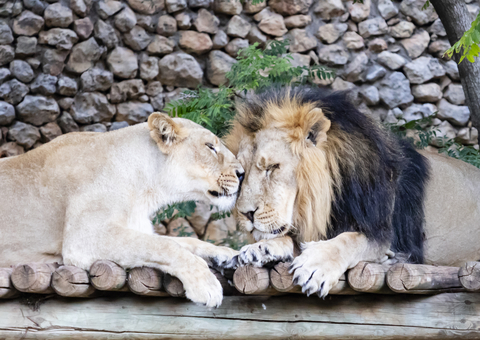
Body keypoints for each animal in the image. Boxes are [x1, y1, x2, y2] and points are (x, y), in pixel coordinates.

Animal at [0, 112, 244, 308]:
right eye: (210, 147)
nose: (242, 173)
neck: (146, 191)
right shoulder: (84, 238)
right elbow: (165, 246)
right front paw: (206, 285)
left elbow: (186, 242)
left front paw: (228, 253)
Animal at [224, 87, 480, 298]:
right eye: (242, 173)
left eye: (272, 167)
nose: (246, 214)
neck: (326, 199)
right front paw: (260, 249)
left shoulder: (385, 235)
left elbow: (349, 240)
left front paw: (314, 265)